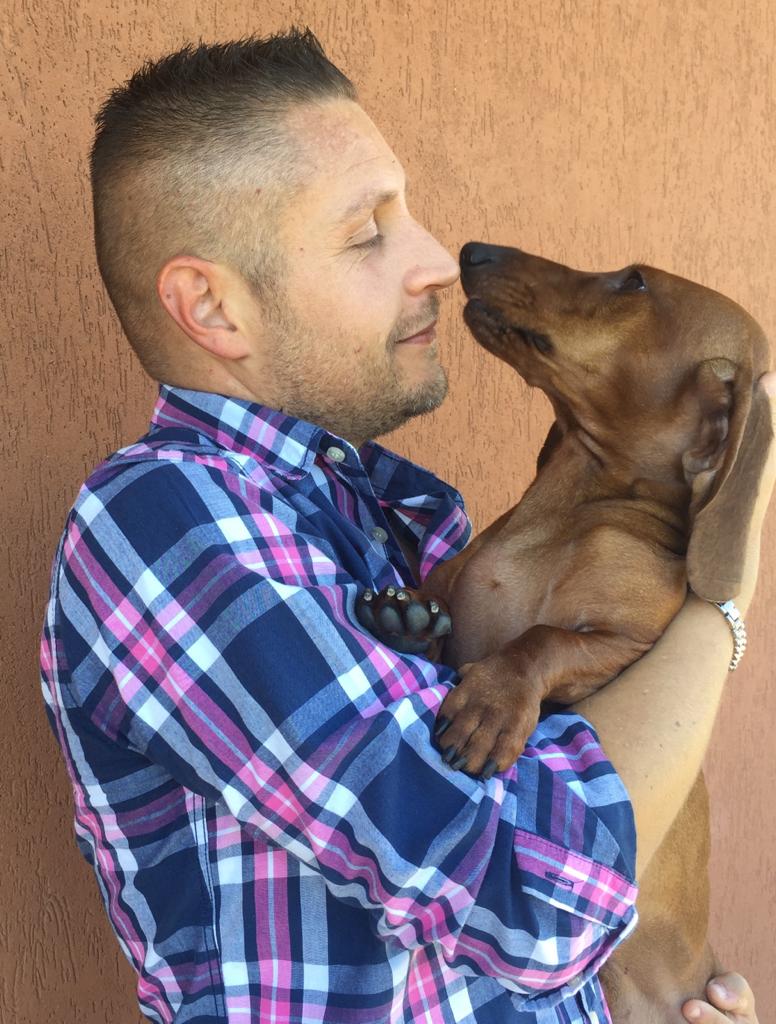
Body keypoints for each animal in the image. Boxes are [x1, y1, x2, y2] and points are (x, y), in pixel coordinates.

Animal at [356, 243, 772, 1021]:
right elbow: (444, 613)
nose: (473, 251)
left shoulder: (625, 646)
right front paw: (408, 619)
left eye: (634, 281)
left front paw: (494, 706)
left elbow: (544, 640)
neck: (568, 507)